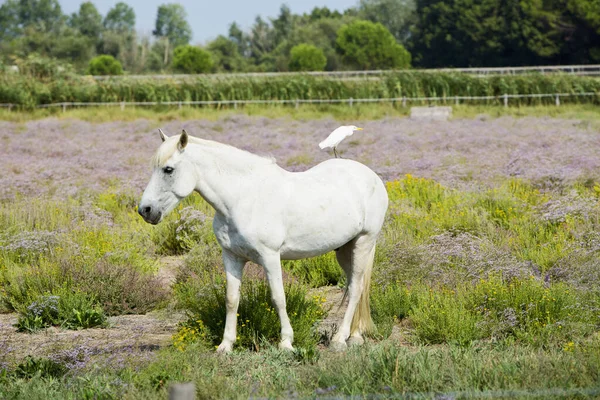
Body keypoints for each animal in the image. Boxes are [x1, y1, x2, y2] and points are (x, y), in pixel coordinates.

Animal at [137, 130, 390, 352]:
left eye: (168, 169)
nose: (145, 210)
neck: (243, 198)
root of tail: (371, 176)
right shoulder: (232, 257)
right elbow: (232, 299)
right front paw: (225, 345)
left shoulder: (270, 256)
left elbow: (278, 298)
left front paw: (286, 342)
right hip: (345, 249)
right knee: (355, 287)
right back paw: (355, 336)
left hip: (363, 242)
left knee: (356, 289)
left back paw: (339, 339)